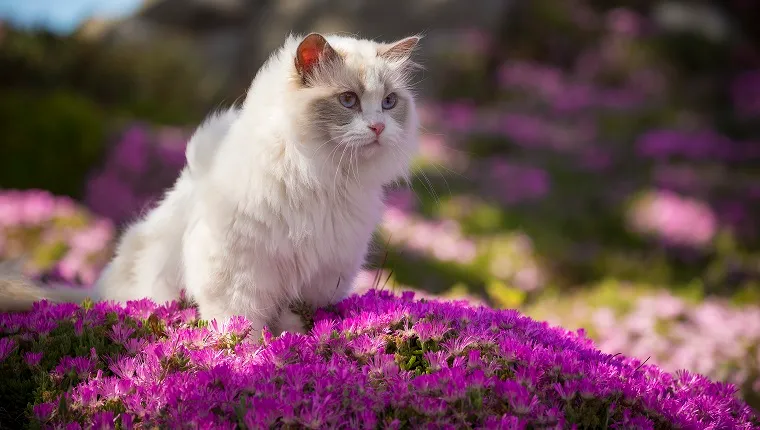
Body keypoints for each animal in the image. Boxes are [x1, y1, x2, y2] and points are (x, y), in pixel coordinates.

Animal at [0, 32, 422, 336]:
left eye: (389, 102)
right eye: (348, 100)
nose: (379, 127)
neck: (322, 177)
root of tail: (96, 292)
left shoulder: (316, 273)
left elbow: (291, 320)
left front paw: (295, 345)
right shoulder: (240, 271)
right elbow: (242, 324)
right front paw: (254, 357)